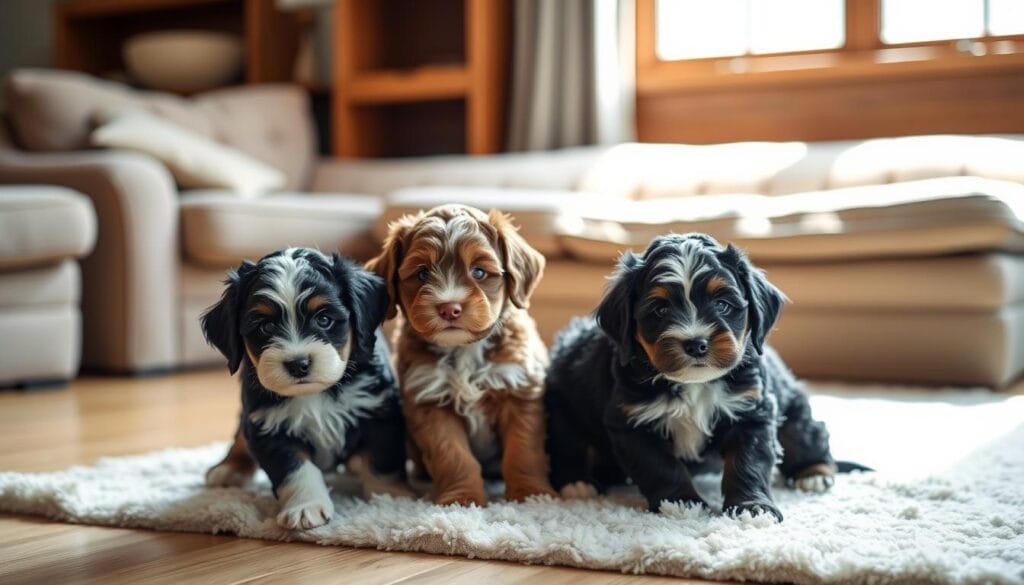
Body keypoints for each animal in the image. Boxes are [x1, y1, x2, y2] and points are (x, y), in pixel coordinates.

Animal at [199, 246, 407, 532]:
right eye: (266, 326)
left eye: (324, 319)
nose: (298, 364)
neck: (314, 395)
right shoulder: (268, 425)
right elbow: (295, 469)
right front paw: (306, 505)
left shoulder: (379, 411)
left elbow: (382, 461)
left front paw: (390, 499)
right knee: (240, 437)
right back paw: (228, 468)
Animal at [368, 203, 557, 506]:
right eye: (422, 274)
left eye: (478, 272)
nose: (449, 308)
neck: (464, 349)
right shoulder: (430, 399)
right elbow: (453, 455)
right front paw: (462, 498)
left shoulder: (519, 389)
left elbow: (523, 449)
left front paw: (532, 494)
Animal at [544, 233, 839, 522]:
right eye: (660, 311)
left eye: (722, 304)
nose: (696, 343)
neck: (694, 384)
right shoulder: (631, 419)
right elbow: (659, 465)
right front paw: (680, 503)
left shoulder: (751, 410)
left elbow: (748, 462)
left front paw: (753, 507)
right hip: (564, 406)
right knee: (569, 444)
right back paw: (578, 483)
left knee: (805, 432)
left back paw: (814, 473)